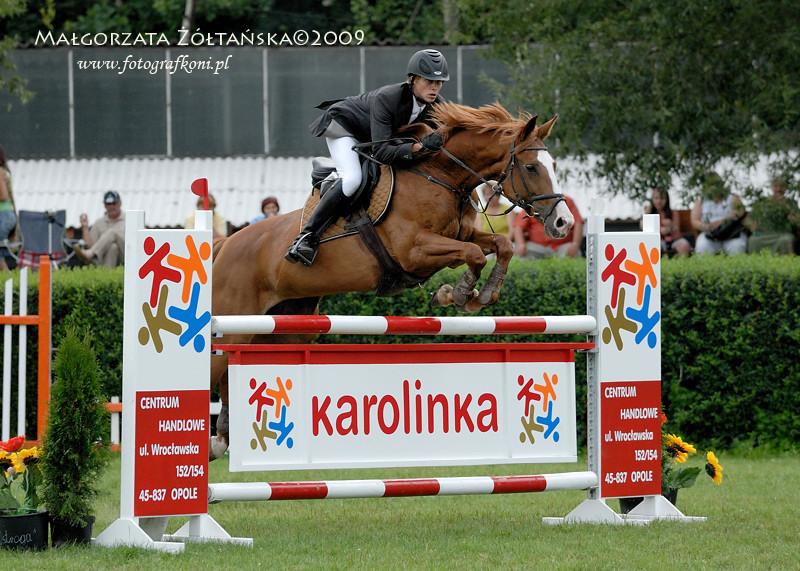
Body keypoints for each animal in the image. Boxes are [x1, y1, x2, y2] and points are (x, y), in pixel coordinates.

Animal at [209, 101, 572, 460]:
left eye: (554, 165)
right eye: (531, 168)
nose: (563, 223)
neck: (441, 175)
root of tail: (226, 244)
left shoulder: (462, 235)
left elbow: (500, 246)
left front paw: (476, 295)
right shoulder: (414, 251)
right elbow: (474, 254)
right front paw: (458, 293)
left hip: (284, 330)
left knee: (233, 373)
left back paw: (225, 436)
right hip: (234, 325)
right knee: (217, 367)